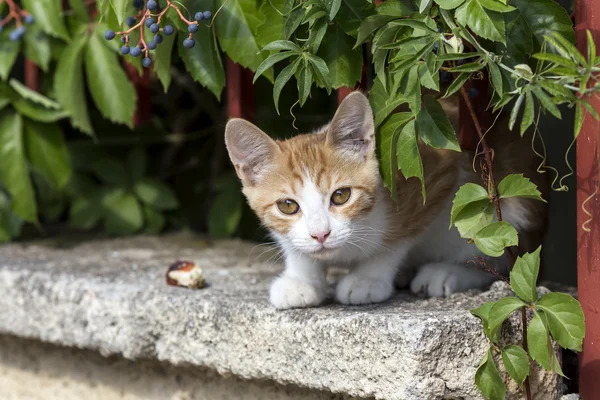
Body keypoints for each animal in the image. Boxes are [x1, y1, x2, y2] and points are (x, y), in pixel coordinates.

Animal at [224, 91, 544, 310]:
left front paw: (368, 278)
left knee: (499, 261)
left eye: (341, 196)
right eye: (288, 206)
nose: (321, 235)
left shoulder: (436, 171)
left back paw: (445, 272)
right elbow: (294, 246)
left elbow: (396, 239)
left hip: (506, 211)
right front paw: (301, 278)